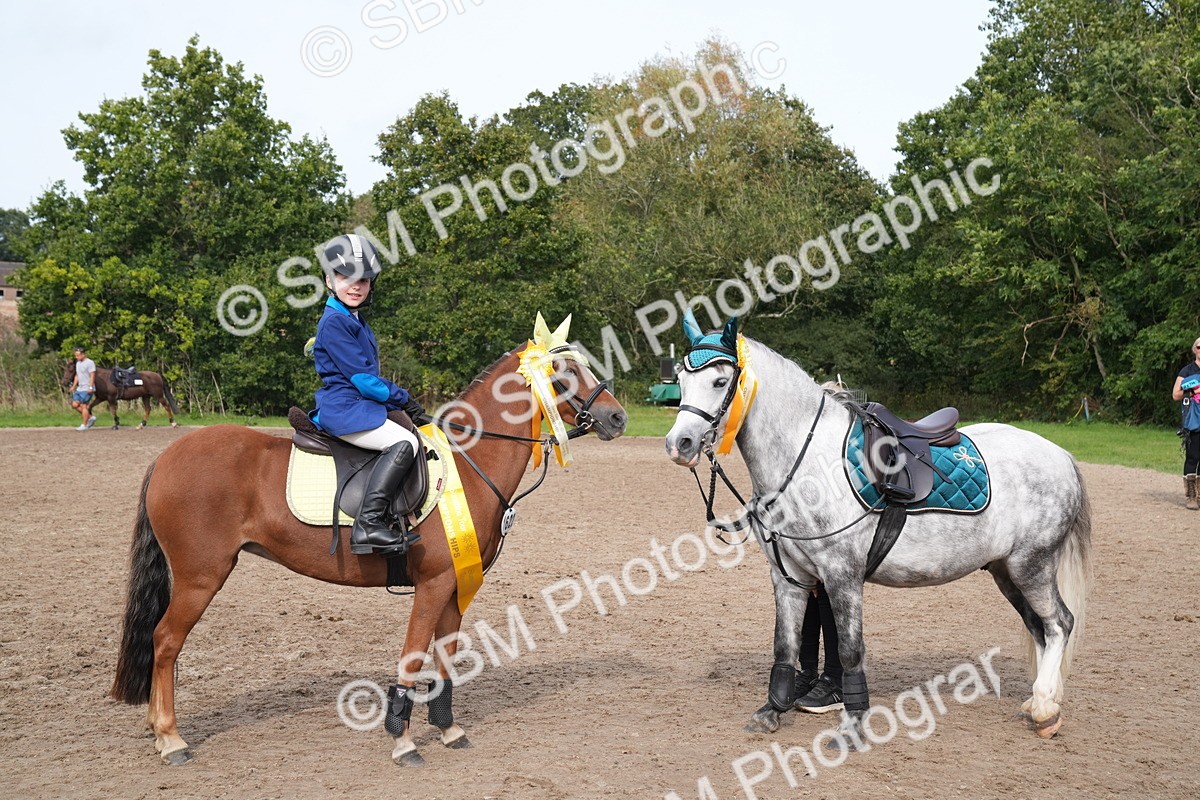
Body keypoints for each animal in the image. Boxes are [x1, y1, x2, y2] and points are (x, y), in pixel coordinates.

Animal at [109, 315, 627, 766]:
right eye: (563, 372)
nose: (618, 417)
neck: (469, 460)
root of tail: (168, 456)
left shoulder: (456, 585)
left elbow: (444, 658)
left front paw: (448, 730)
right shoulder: (435, 583)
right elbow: (413, 658)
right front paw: (403, 742)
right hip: (201, 576)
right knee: (165, 641)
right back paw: (170, 738)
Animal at [664, 313, 1091, 744]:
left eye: (720, 381)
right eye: (680, 379)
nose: (678, 444)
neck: (809, 462)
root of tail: (1061, 455)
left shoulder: (842, 575)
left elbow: (850, 650)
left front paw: (854, 724)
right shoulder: (790, 576)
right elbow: (785, 645)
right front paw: (772, 710)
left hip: (1032, 566)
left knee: (1059, 624)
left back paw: (1045, 707)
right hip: (1006, 571)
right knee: (1039, 627)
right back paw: (1042, 700)